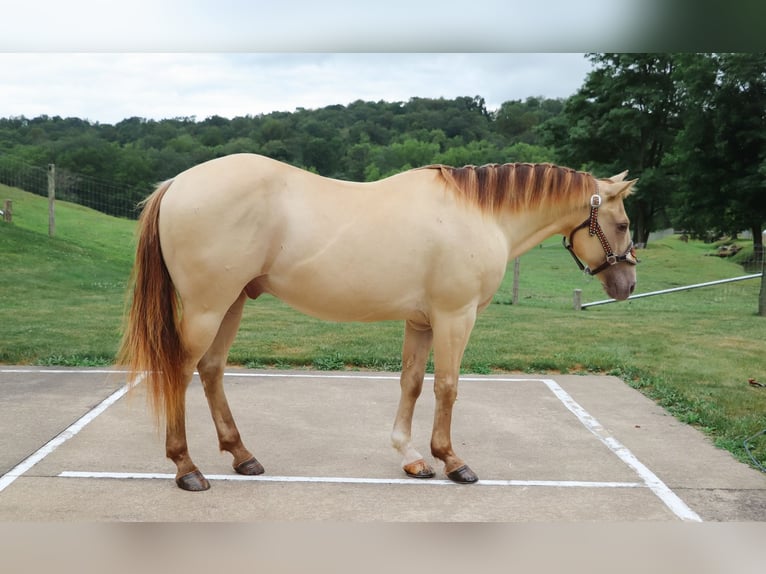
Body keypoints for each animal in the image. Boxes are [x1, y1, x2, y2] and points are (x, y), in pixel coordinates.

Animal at [118, 153, 638, 491]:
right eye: (625, 224)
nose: (628, 284)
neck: (476, 213)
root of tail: (177, 184)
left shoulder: (422, 322)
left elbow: (412, 383)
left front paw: (412, 459)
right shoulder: (455, 317)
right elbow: (447, 386)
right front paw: (452, 462)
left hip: (231, 304)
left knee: (211, 371)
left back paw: (242, 456)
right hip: (208, 307)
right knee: (179, 371)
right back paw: (187, 469)